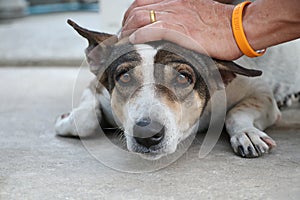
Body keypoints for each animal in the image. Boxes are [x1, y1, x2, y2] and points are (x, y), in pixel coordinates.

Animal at [54, 19, 300, 159]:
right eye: (124, 77)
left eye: (183, 78)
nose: (146, 133)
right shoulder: (96, 87)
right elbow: (84, 118)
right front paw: (69, 119)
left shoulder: (260, 94)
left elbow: (236, 112)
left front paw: (246, 133)